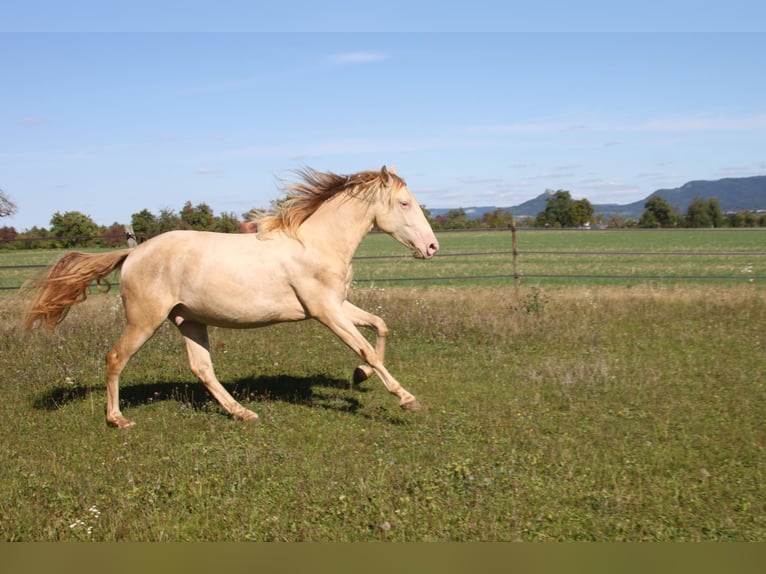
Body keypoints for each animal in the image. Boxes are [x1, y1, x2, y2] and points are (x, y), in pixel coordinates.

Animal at [22, 166, 439, 429]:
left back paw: (242, 413)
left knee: (202, 368)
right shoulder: (325, 311)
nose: (432, 247)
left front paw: (359, 376)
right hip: (145, 319)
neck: (317, 243)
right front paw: (405, 398)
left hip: (188, 319)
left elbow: (380, 326)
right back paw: (118, 419)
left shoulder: (337, 305)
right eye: (404, 203)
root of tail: (133, 253)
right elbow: (366, 347)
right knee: (115, 358)